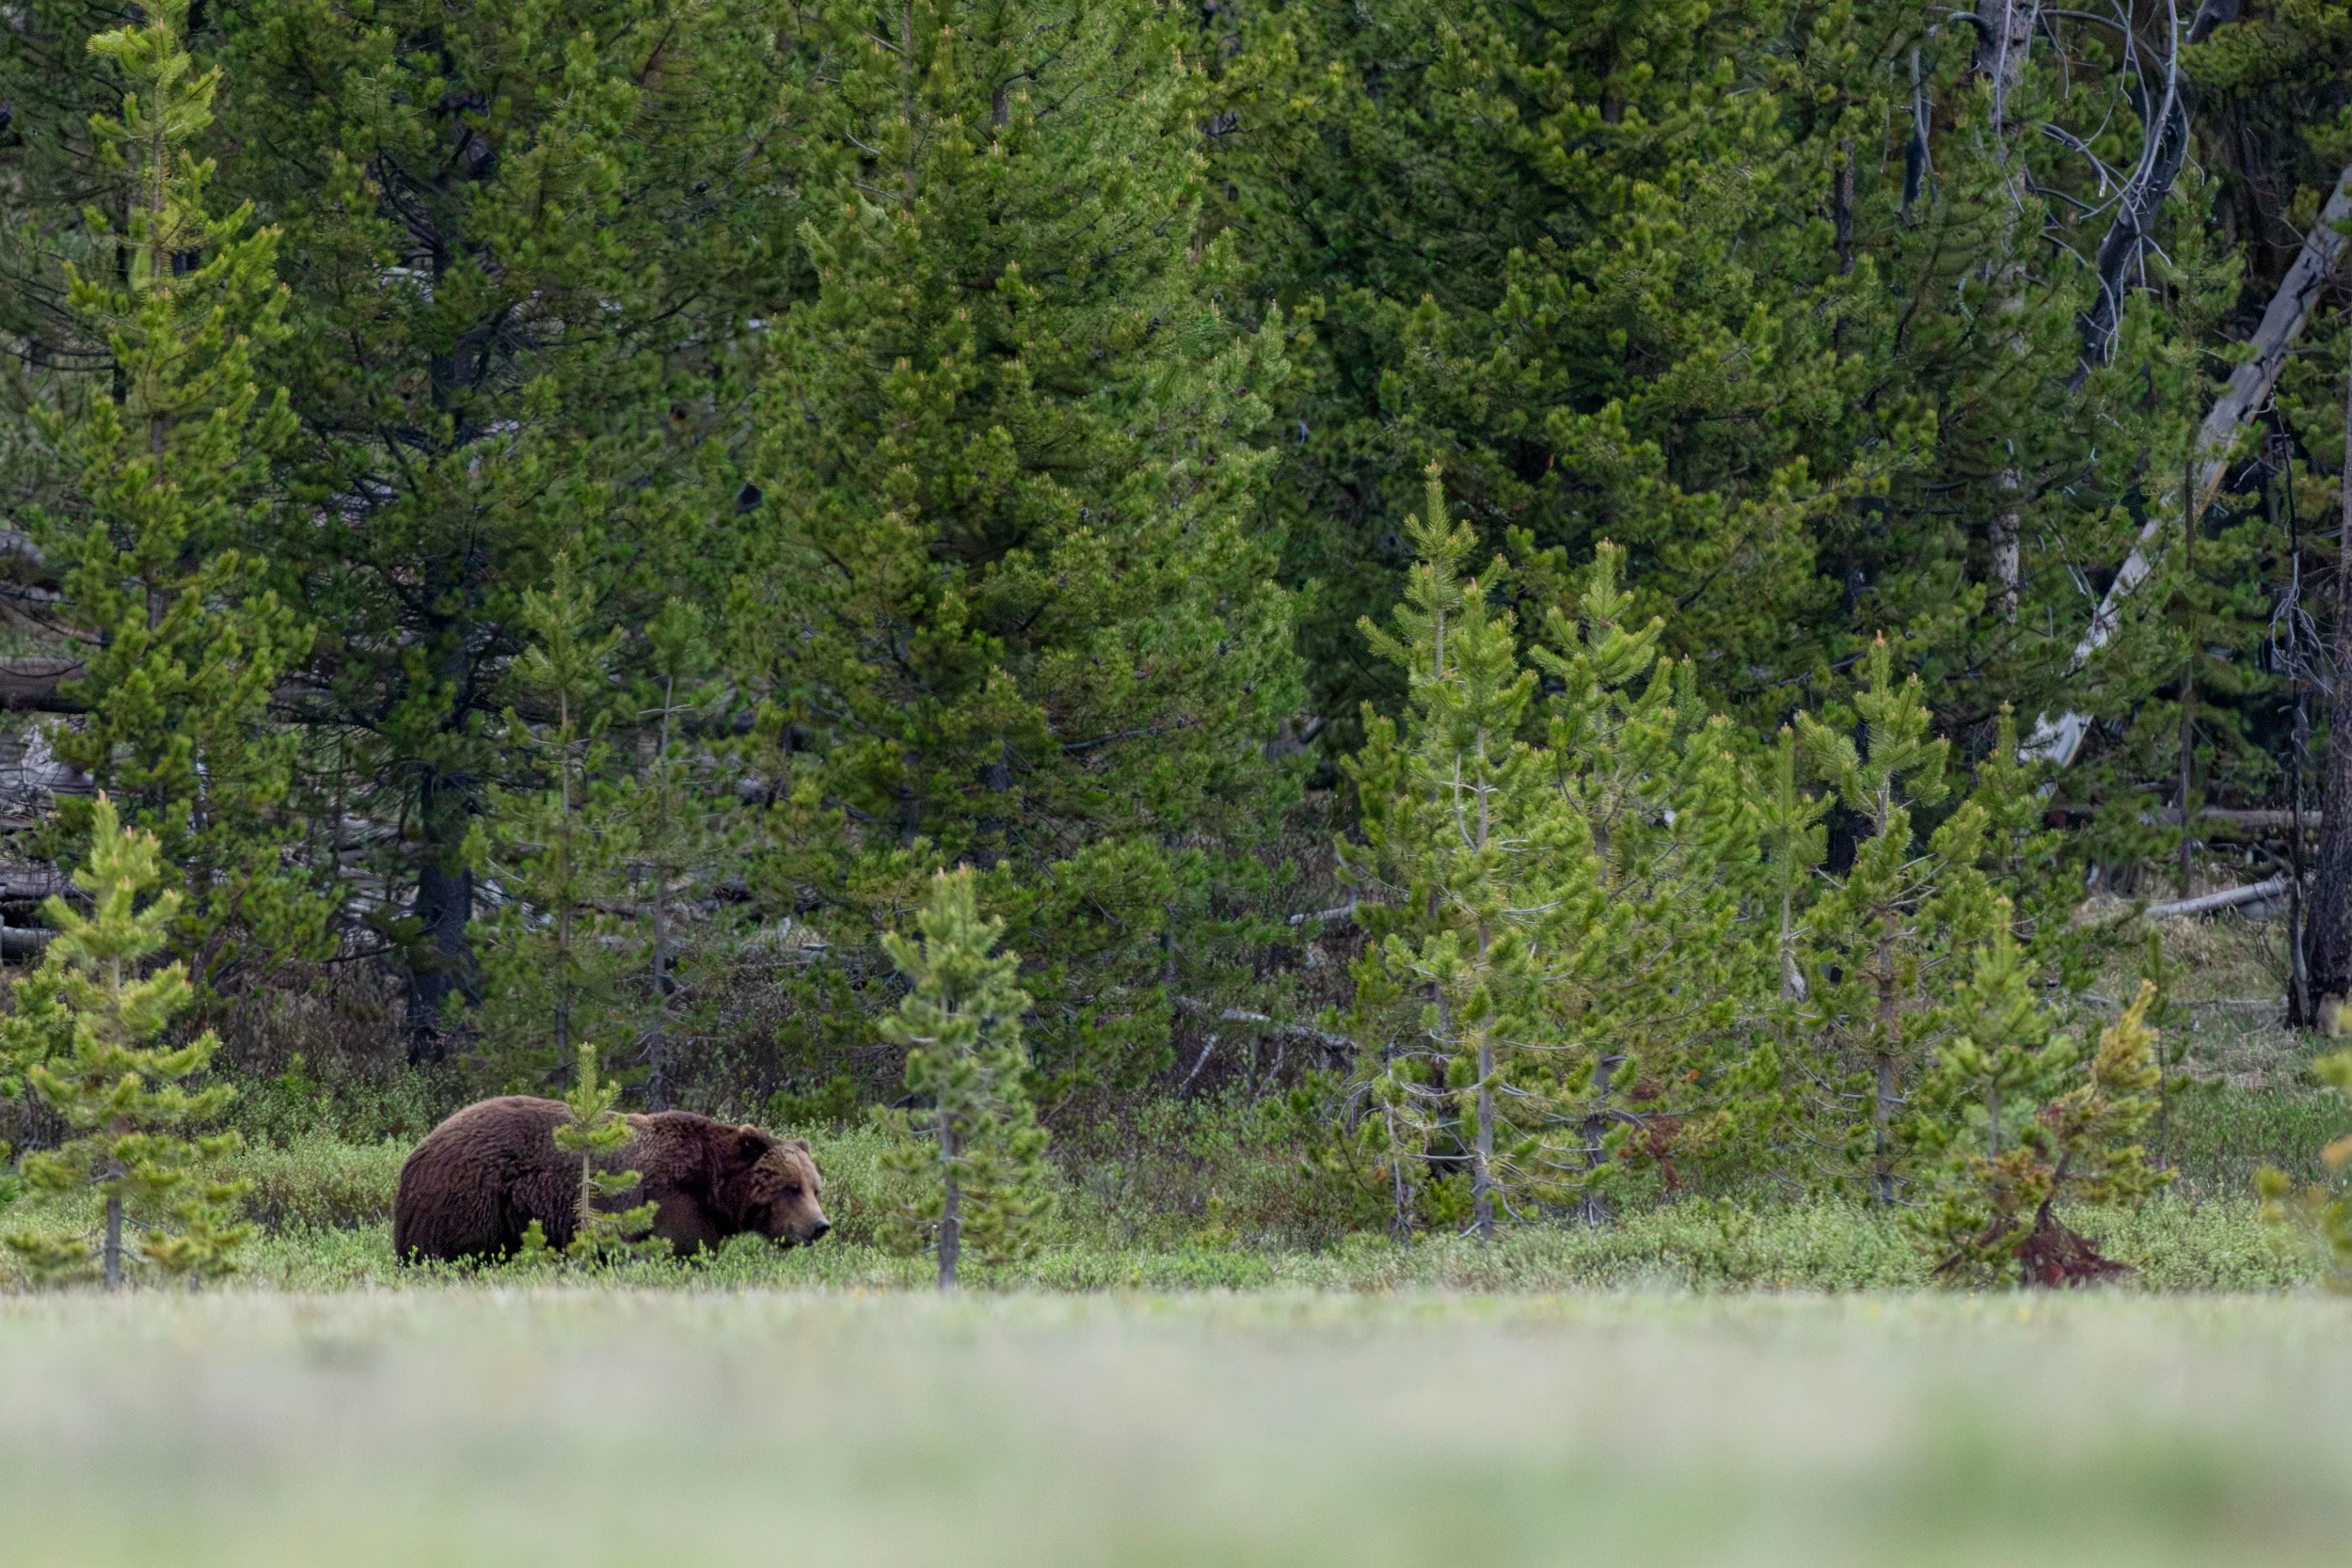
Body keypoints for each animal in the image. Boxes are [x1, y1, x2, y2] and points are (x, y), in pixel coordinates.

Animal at [392, 1095, 830, 1263]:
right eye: (790, 1187)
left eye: (815, 1188)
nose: (820, 1226)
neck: (711, 1187)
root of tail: (416, 1151)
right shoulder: (668, 1205)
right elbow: (676, 1250)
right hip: (469, 1203)